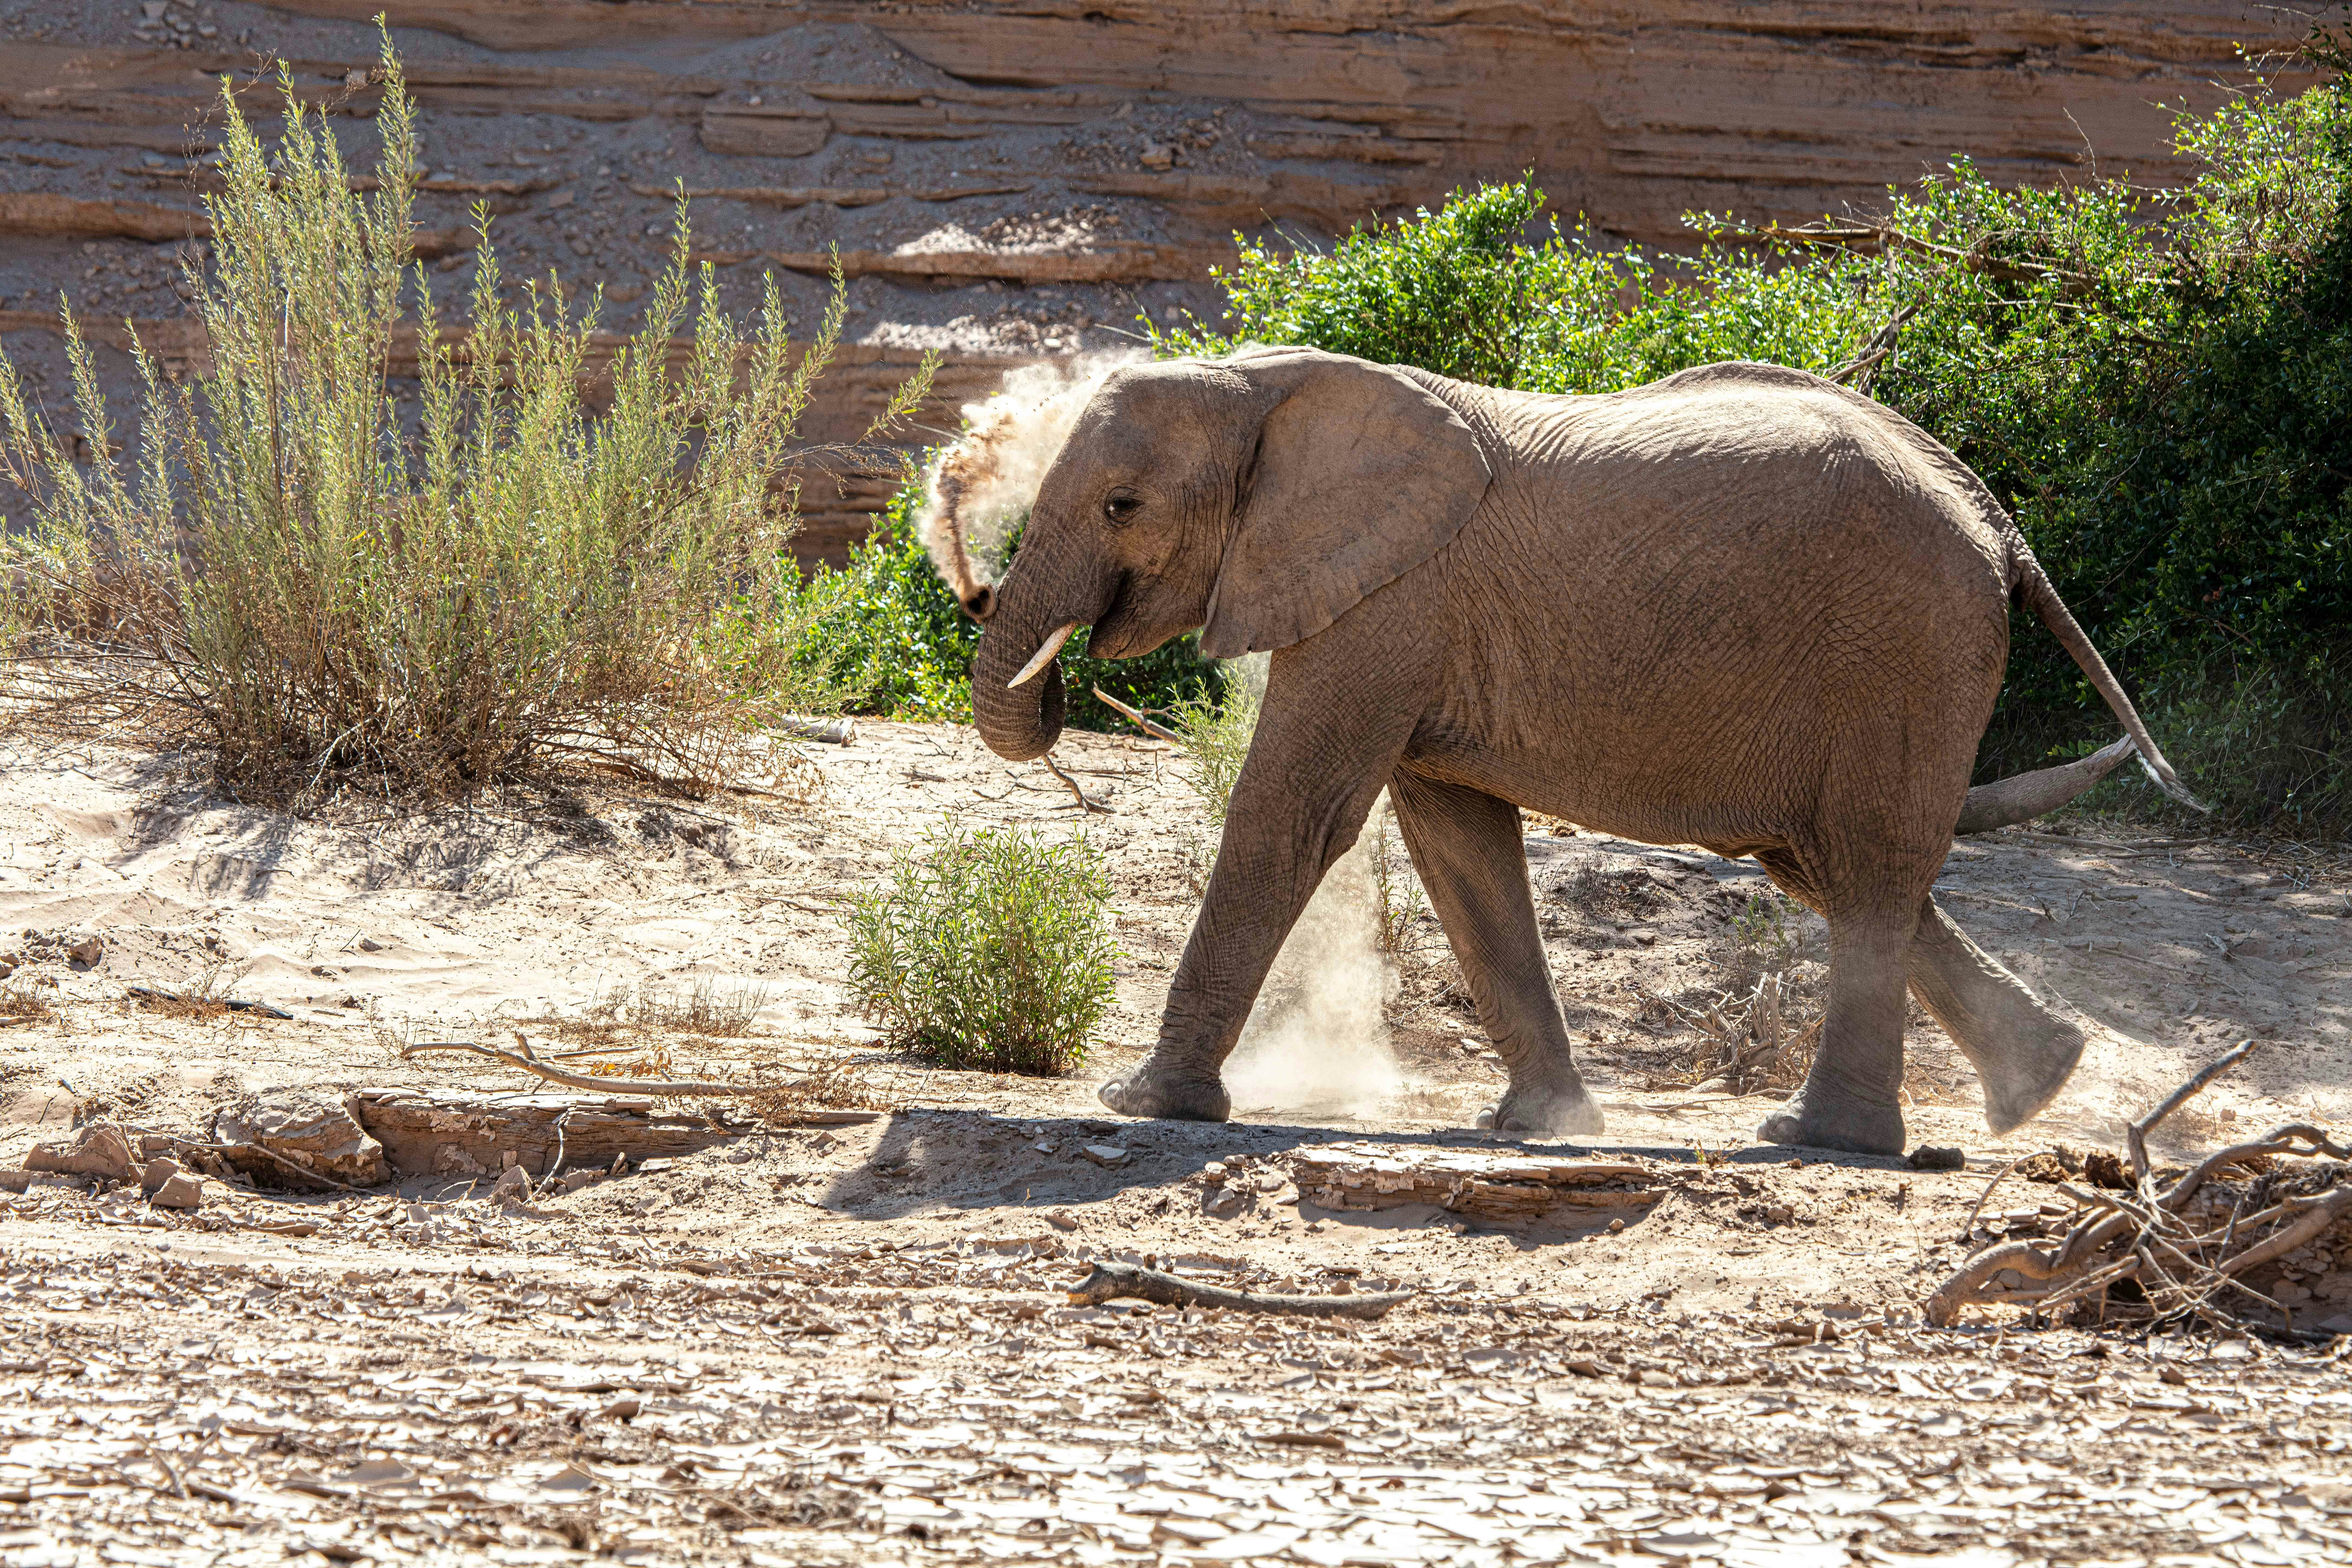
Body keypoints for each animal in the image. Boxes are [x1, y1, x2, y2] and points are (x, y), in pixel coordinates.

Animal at [934, 347, 2198, 1156]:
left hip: (1903, 648)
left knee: (1871, 867)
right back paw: (2038, 1086)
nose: (993, 599)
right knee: (1832, 866)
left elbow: (1294, 813)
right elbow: (1455, 843)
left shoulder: (1384, 599)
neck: (1270, 386)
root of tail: (2001, 526)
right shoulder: (1410, 616)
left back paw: (1823, 1137)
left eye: (1122, 506)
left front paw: (1142, 1102)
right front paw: (1541, 1128)